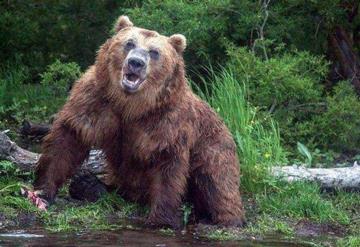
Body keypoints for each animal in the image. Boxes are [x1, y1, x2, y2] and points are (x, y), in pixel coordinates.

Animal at [33, 14, 246, 228]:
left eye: (154, 52)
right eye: (129, 43)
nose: (136, 62)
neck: (131, 105)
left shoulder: (166, 121)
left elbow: (166, 164)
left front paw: (161, 219)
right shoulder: (96, 101)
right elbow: (69, 138)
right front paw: (44, 189)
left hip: (213, 148)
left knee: (216, 181)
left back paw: (223, 218)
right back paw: (89, 185)